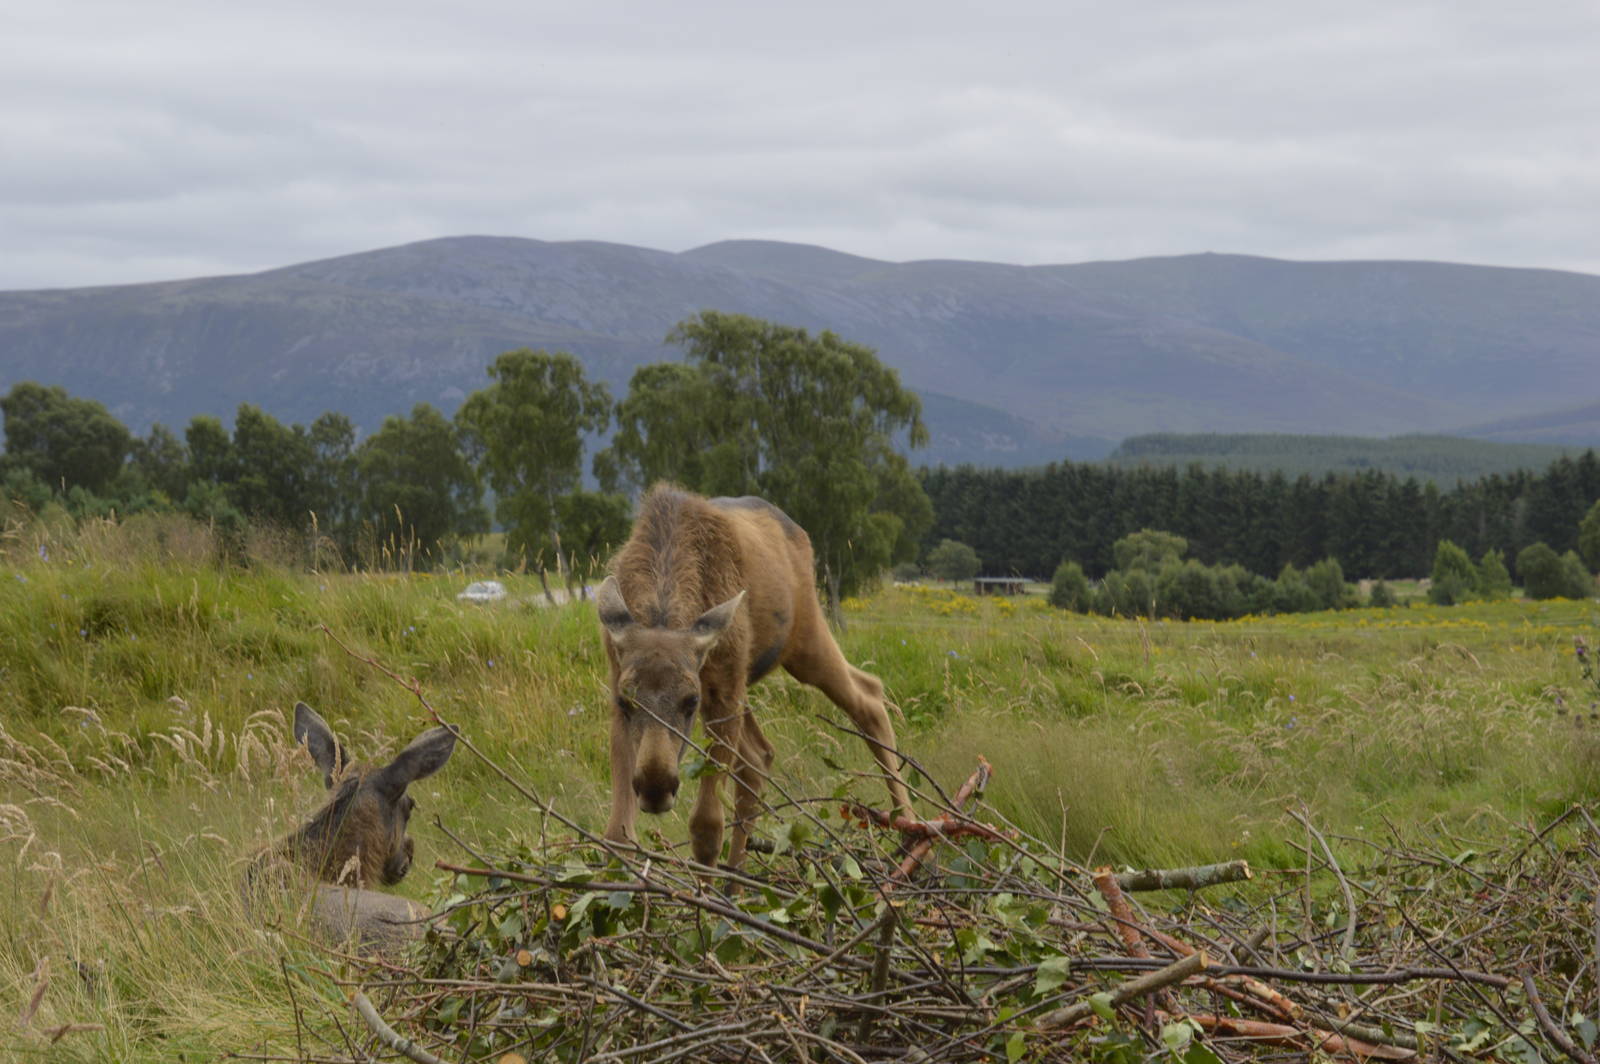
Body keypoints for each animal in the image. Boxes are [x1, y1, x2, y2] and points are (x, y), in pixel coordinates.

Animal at [596, 485, 914, 868]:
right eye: (624, 700)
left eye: (690, 701)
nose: (656, 787)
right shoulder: (622, 679)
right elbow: (617, 835)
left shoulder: (722, 690)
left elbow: (706, 826)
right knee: (759, 757)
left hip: (805, 641)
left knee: (868, 695)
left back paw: (911, 831)